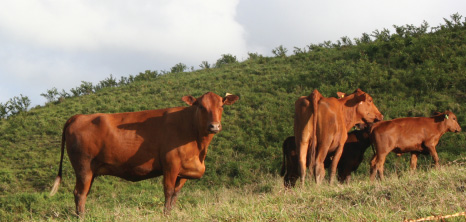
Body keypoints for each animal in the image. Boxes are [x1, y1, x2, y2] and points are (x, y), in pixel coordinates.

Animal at [49, 91, 238, 215]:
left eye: (221, 106)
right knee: (79, 194)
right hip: (83, 167)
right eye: (201, 106)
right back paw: (81, 217)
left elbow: (176, 194)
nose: (214, 126)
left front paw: (172, 213)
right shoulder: (171, 164)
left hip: (91, 170)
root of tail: (79, 116)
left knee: (83, 193)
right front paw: (166, 215)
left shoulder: (184, 170)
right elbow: (168, 191)